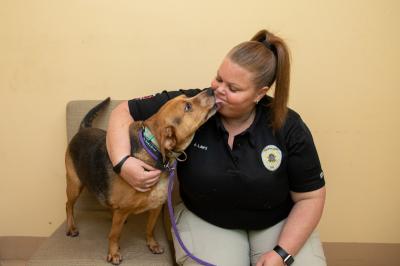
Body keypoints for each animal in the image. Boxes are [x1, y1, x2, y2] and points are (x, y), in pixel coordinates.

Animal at [65, 89, 216, 264]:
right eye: (188, 106)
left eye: (186, 96)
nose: (211, 90)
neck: (154, 151)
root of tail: (83, 129)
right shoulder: (122, 211)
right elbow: (114, 235)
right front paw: (113, 253)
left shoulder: (156, 207)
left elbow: (149, 229)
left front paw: (152, 244)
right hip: (74, 185)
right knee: (68, 205)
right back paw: (71, 227)